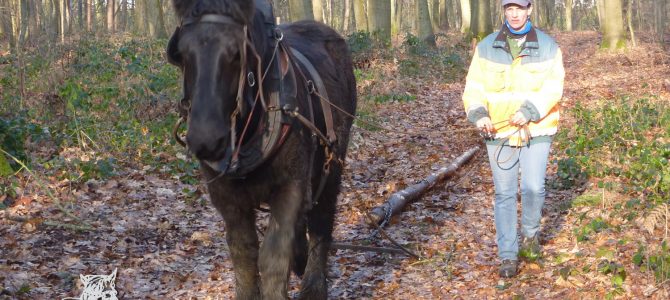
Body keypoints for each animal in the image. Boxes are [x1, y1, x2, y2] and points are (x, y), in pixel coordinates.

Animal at [167, 1, 356, 298]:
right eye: (183, 54)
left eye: (237, 53)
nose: (205, 139)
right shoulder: (227, 199)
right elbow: (244, 256)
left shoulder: (290, 187)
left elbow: (273, 257)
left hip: (332, 161)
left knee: (321, 221)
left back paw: (313, 284)